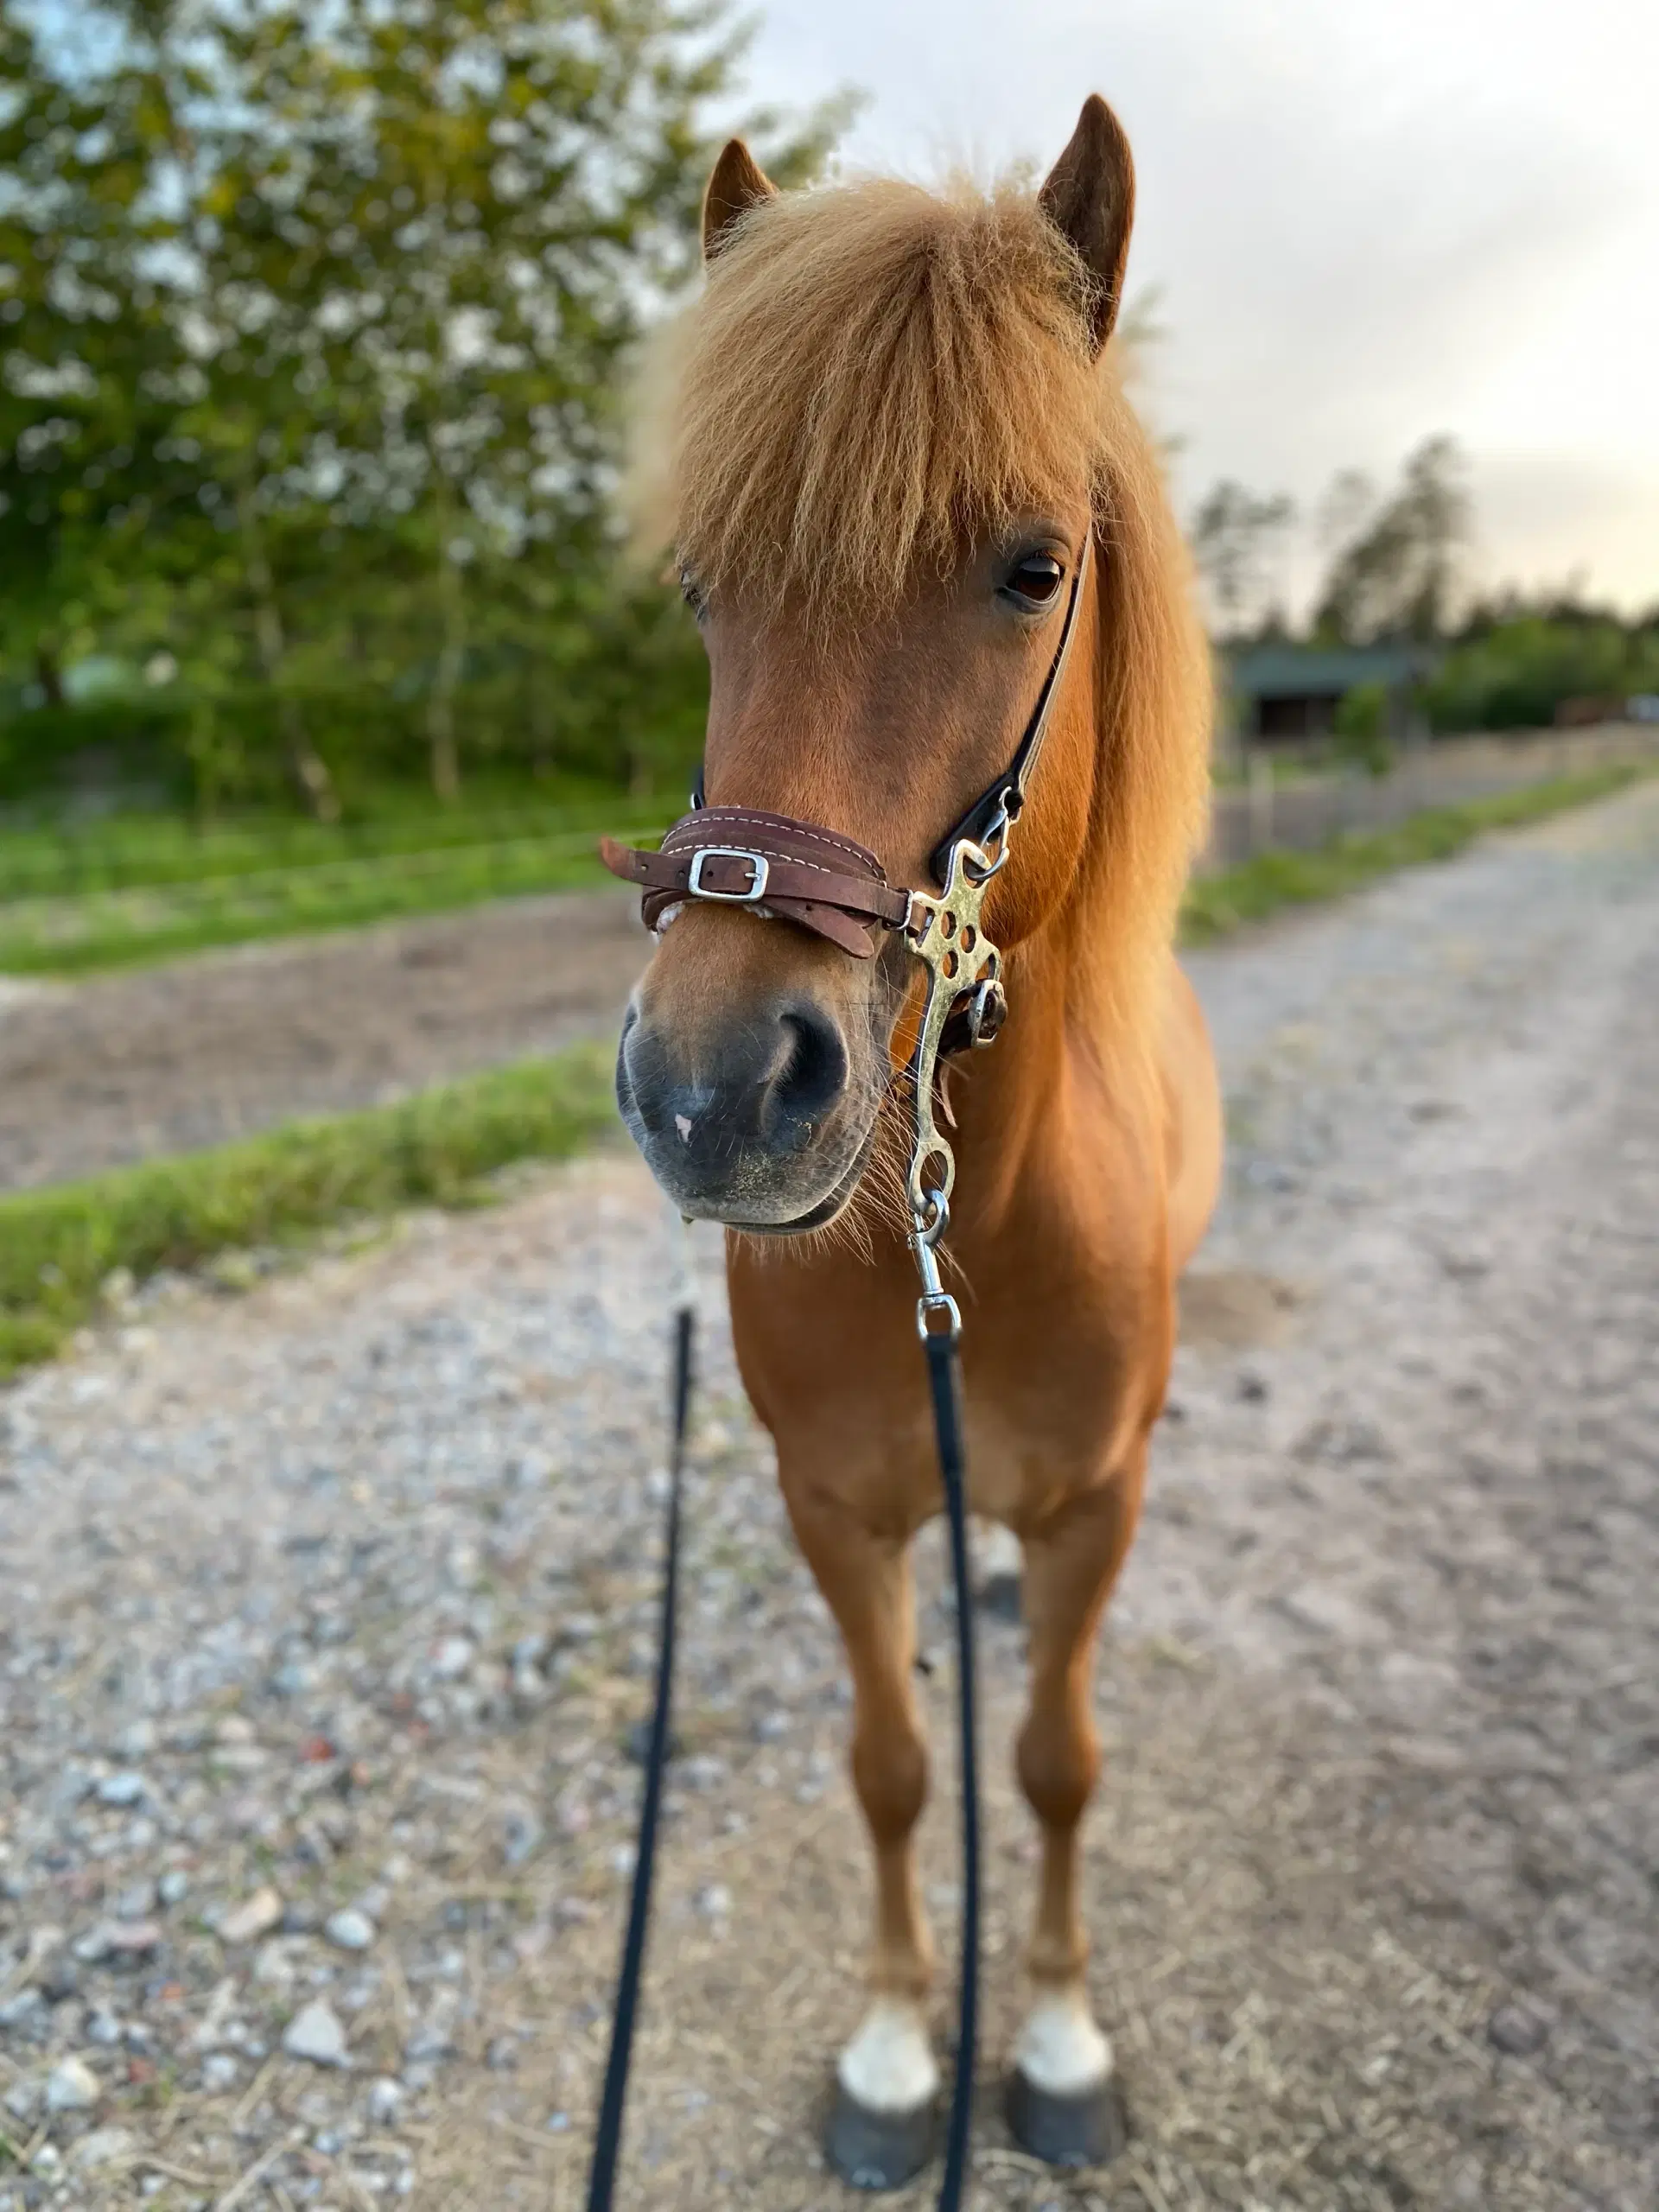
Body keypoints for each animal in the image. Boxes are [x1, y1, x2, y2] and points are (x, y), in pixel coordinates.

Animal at [610, 99, 1221, 2177]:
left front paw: (1054, 2035)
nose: (714, 1091)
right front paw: (893, 2045)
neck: (972, 1229)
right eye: (702, 587)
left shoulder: (1101, 1495)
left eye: (1033, 568)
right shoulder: (835, 1508)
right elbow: (890, 1768)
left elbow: (1054, 1760)